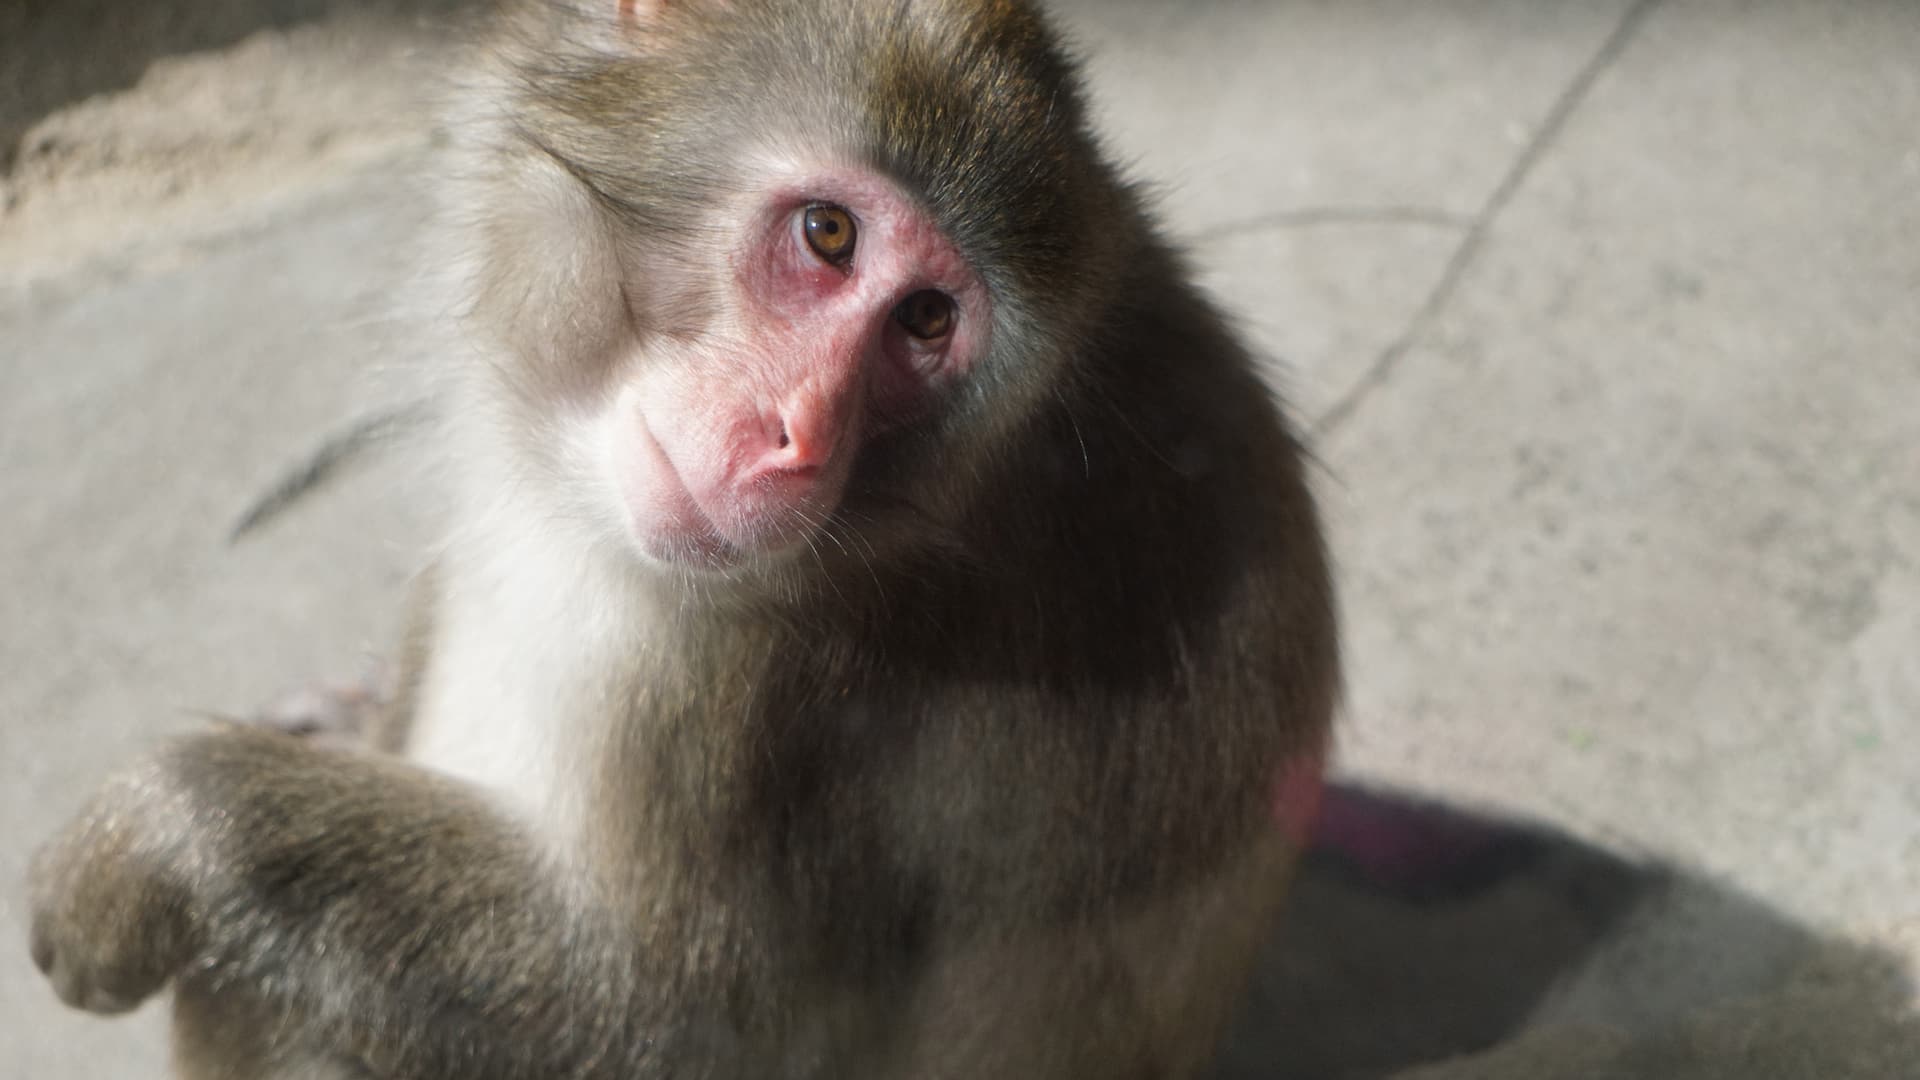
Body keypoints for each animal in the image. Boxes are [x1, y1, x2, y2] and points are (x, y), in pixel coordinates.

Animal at [28, 0, 1339, 1077]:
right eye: (826, 235)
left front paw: (166, 830)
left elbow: (674, 1017)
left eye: (924, 320)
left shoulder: (785, 694)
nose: (794, 439)